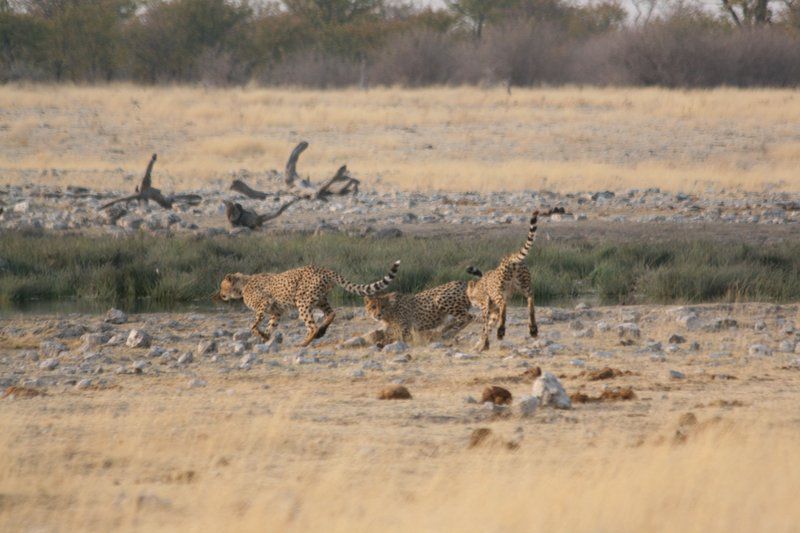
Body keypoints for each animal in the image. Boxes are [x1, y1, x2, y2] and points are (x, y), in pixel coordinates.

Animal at [217, 260, 400, 344]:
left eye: (221, 286)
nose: (220, 295)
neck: (243, 284)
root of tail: (324, 269)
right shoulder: (276, 312)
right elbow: (270, 325)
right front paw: (265, 336)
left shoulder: (264, 304)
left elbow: (254, 323)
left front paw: (258, 333)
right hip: (319, 299)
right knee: (331, 314)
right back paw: (321, 331)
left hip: (302, 301)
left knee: (312, 325)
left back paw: (304, 342)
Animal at [466, 210, 540, 352]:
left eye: (470, 297)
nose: (472, 304)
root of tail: (510, 258)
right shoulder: (494, 312)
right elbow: (488, 327)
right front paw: (482, 344)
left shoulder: (485, 305)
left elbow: (485, 326)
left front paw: (483, 344)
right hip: (525, 286)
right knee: (531, 299)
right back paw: (533, 328)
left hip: (499, 292)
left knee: (504, 304)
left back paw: (501, 331)